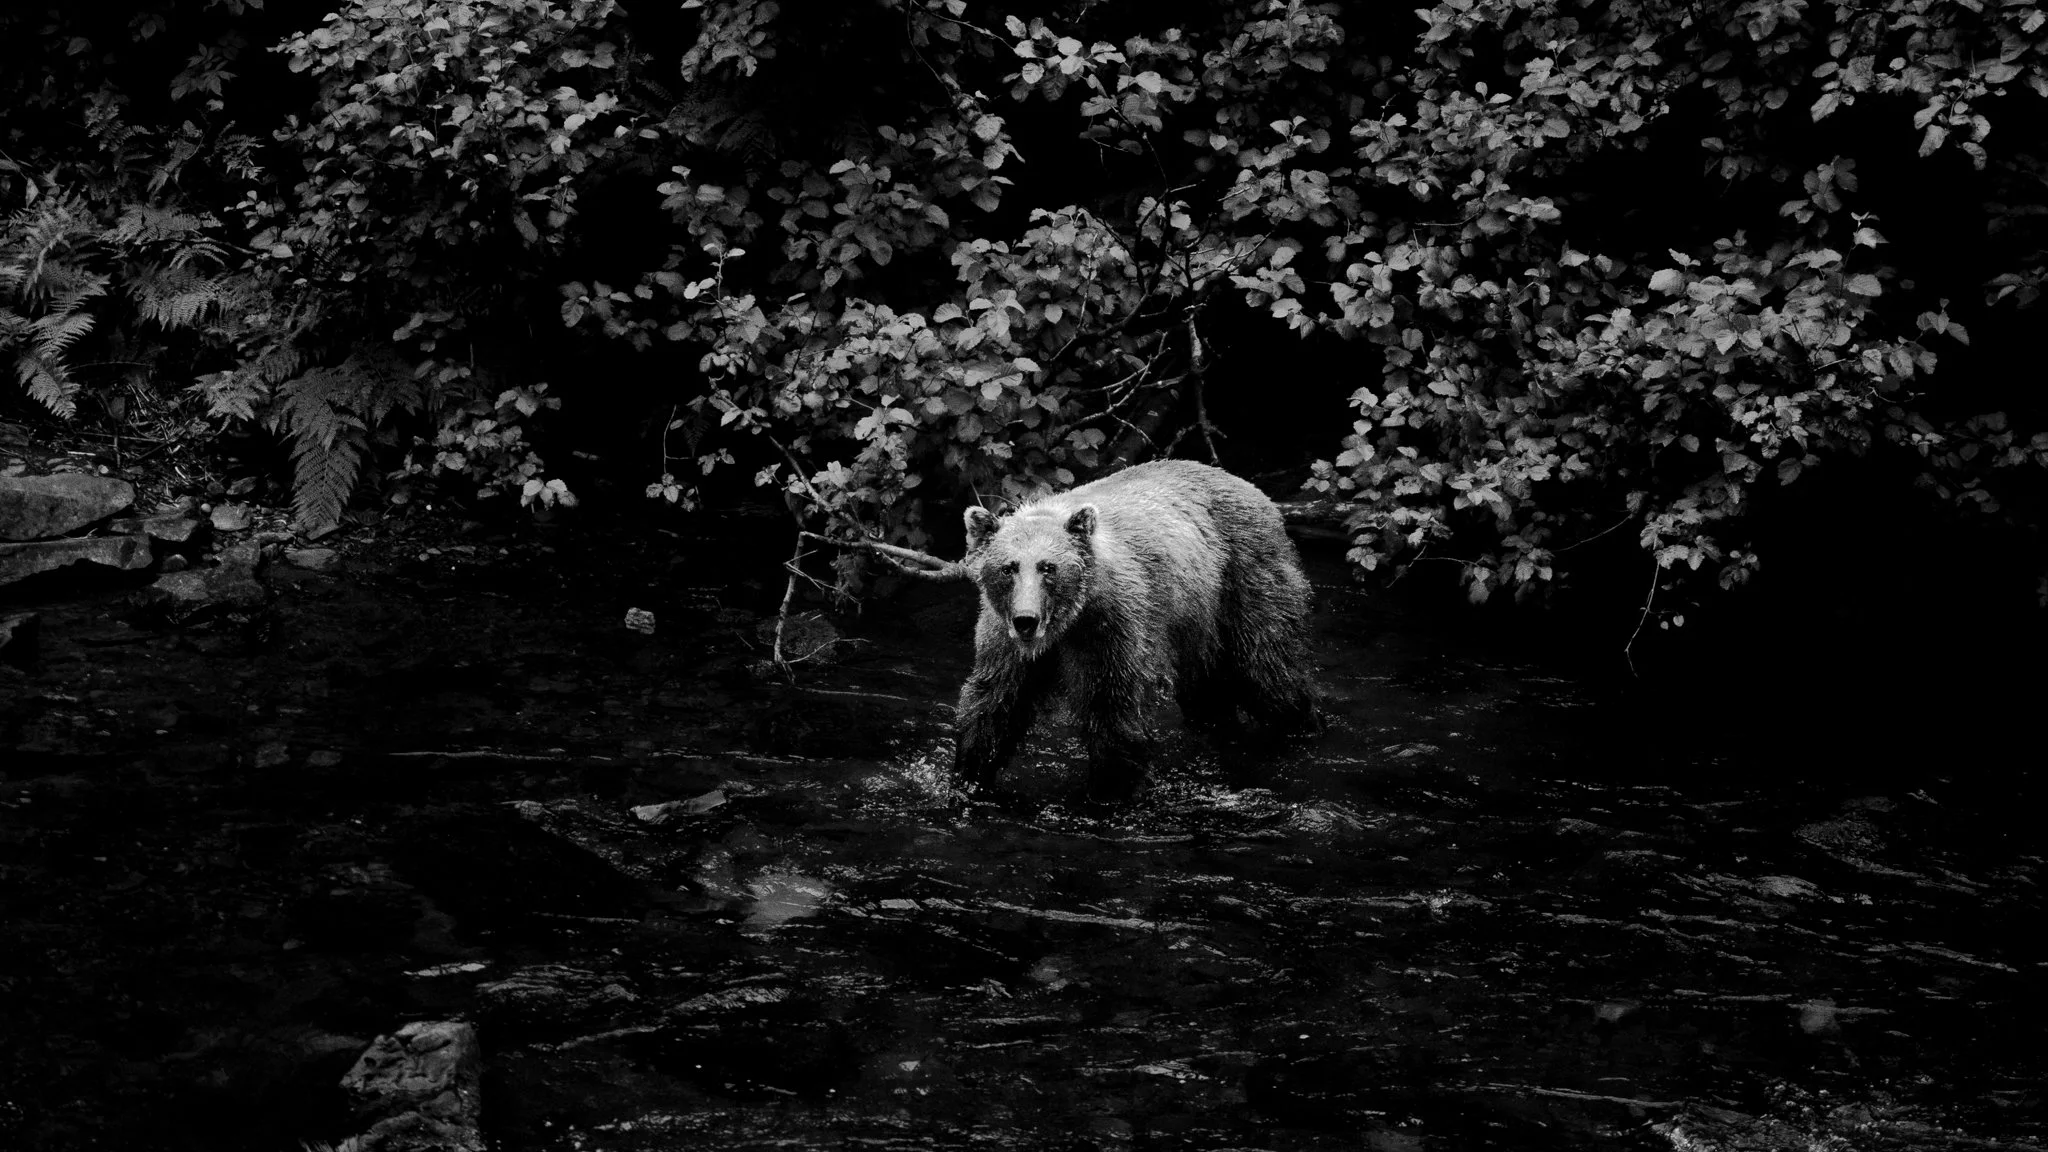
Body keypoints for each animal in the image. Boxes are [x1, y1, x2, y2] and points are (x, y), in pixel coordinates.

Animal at [953, 459, 1318, 799]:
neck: (1066, 624)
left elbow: (1112, 707)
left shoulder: (1110, 626)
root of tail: (1253, 489)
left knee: (1267, 668)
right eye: (1008, 567)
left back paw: (1295, 726)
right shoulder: (1004, 637)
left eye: (1048, 567)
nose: (1026, 619)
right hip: (1197, 625)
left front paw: (1109, 789)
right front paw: (970, 778)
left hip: (1242, 577)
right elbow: (995, 699)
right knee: (1207, 691)